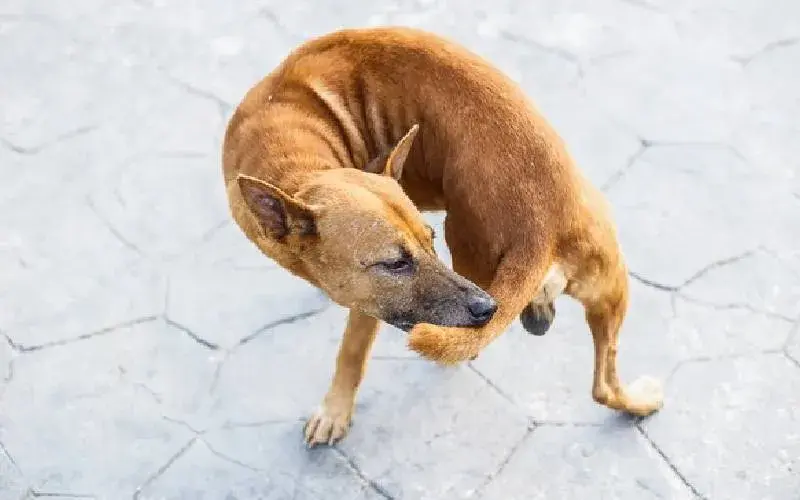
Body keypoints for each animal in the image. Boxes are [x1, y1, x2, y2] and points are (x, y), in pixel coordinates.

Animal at [222, 26, 664, 446]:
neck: (294, 156)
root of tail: (542, 221)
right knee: (604, 385)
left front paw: (334, 411)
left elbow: (350, 353)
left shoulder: (369, 306)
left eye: (428, 240)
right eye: (396, 263)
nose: (487, 308)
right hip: (606, 286)